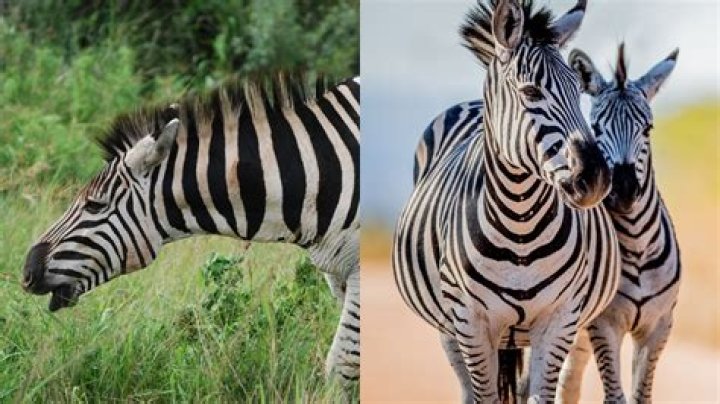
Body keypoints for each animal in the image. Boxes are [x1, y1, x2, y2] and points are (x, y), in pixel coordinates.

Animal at [392, 0, 622, 402]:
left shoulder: (560, 318)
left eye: (579, 92)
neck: (521, 225)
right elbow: (485, 395)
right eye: (530, 93)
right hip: (448, 328)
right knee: (468, 388)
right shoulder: (470, 321)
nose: (595, 179)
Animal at [554, 44, 681, 404]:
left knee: (567, 384)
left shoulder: (659, 326)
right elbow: (615, 396)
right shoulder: (604, 326)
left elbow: (641, 396)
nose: (623, 191)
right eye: (596, 128)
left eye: (648, 129)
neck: (637, 245)